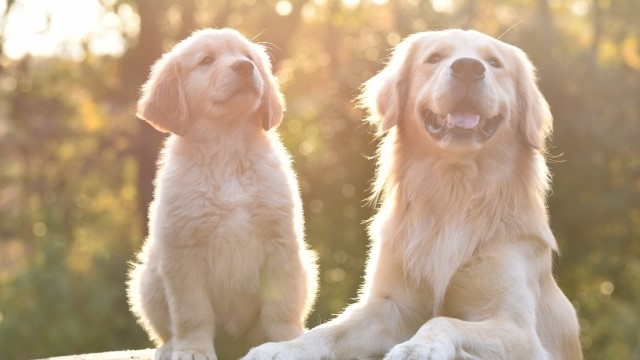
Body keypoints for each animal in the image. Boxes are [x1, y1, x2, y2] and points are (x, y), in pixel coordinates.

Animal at [126, 28, 316, 360]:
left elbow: (281, 306)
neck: (227, 148)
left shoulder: (281, 242)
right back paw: (171, 346)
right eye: (206, 61)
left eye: (248, 56)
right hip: (147, 277)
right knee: (167, 328)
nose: (245, 67)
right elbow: (192, 312)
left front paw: (286, 343)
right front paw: (193, 350)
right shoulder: (183, 251)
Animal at [246, 30, 584, 360]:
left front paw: (419, 347)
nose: (468, 68)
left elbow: (442, 320)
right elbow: (331, 329)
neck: (455, 192)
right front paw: (284, 347)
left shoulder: (518, 329)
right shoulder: (390, 304)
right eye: (434, 58)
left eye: (494, 62)